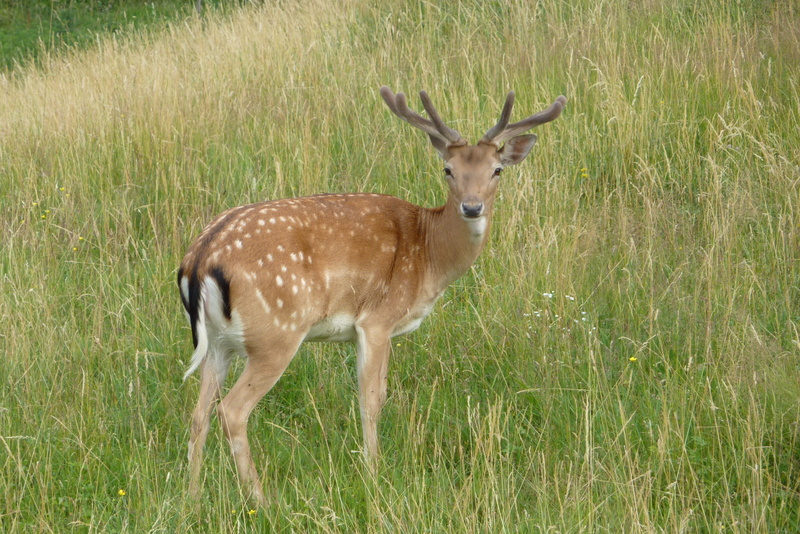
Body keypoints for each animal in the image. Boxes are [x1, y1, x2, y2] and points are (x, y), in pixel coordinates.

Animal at [177, 85, 566, 505]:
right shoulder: (377, 319)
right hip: (275, 335)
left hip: (219, 344)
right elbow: (372, 399)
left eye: (497, 170)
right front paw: (373, 472)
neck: (429, 255)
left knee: (199, 413)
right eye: (447, 169)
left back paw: (193, 496)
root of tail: (200, 260)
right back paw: (260, 500)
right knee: (232, 410)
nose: (472, 206)